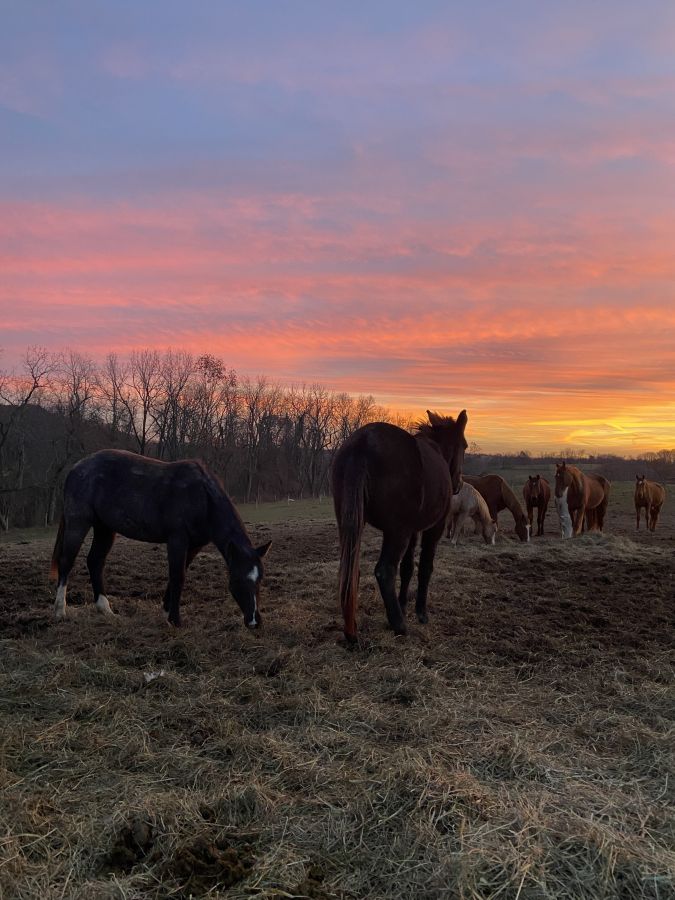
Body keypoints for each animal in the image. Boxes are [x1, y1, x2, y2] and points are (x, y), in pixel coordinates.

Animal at [50, 448, 272, 624]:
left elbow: (179, 574)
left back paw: (105, 609)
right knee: (67, 561)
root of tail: (76, 468)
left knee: (95, 561)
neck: (202, 499)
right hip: (78, 523)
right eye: (237, 580)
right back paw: (60, 610)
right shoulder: (177, 540)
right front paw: (175, 620)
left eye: (259, 579)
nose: (254, 621)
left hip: (104, 528)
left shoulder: (194, 546)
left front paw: (166, 612)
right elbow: (178, 576)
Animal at [330, 412, 468, 644]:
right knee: (385, 570)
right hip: (396, 532)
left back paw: (353, 630)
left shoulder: (411, 530)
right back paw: (399, 625)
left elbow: (407, 568)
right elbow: (425, 567)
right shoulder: (433, 529)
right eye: (464, 445)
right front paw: (420, 612)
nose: (458, 484)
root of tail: (362, 442)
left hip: (351, 524)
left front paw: (403, 605)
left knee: (351, 571)